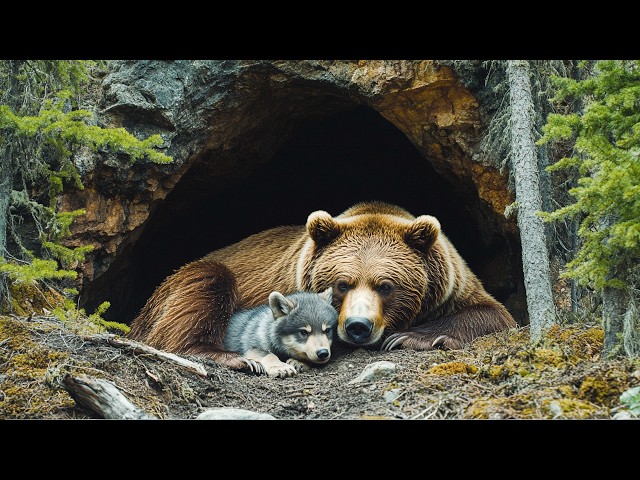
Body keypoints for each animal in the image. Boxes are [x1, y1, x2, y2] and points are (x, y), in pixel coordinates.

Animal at [127, 201, 516, 370]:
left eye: (386, 285)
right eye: (343, 283)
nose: (358, 326)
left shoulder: (454, 284)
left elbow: (493, 313)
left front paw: (412, 336)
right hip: (177, 284)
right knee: (204, 283)